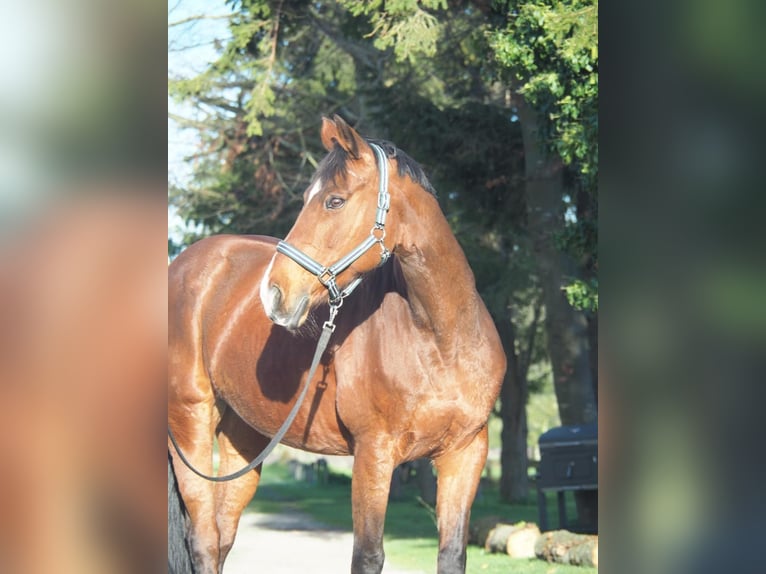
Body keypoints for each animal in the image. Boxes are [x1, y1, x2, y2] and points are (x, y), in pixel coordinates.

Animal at [168, 115, 506, 574]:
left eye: (334, 201)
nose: (273, 294)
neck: (441, 340)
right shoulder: (373, 453)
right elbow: (368, 555)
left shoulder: (465, 454)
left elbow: (452, 553)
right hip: (189, 423)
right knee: (203, 540)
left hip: (245, 437)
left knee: (221, 537)